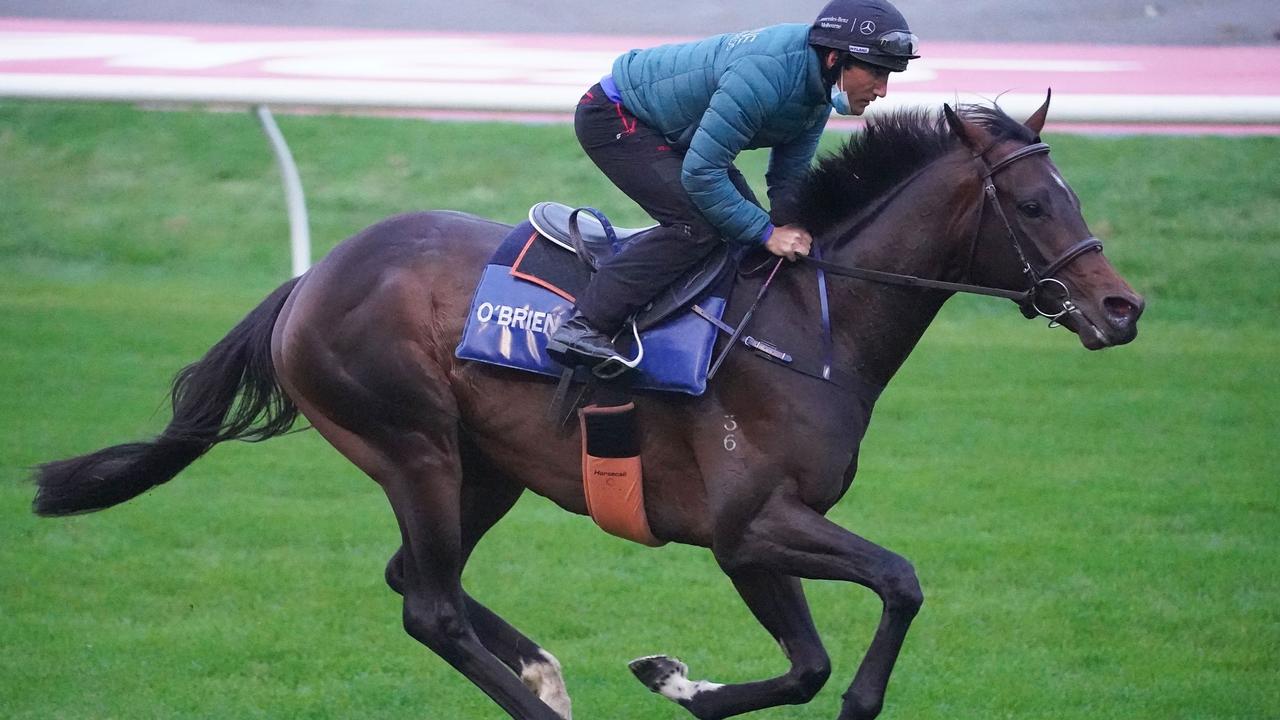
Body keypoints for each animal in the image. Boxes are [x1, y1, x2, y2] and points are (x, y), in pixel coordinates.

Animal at [35, 96, 1146, 717]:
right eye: (1036, 204)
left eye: (1075, 196)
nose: (1120, 308)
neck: (808, 322)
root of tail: (310, 280)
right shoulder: (750, 525)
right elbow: (895, 591)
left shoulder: (755, 536)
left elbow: (806, 662)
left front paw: (674, 680)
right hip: (412, 444)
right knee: (430, 606)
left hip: (483, 467)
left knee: (415, 577)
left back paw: (544, 676)